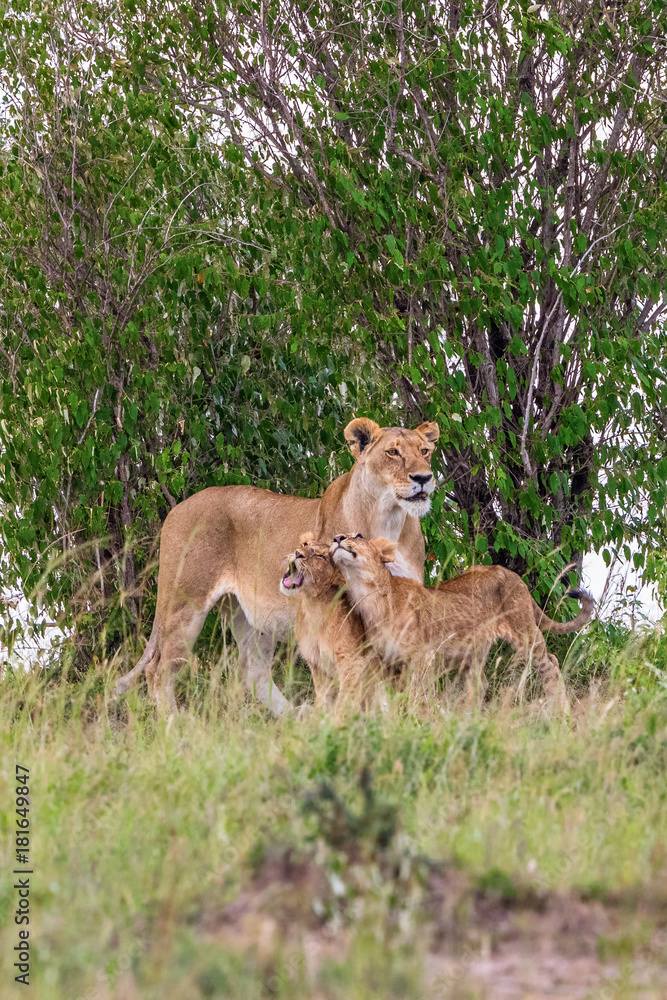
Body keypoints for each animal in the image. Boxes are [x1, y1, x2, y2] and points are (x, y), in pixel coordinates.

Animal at [279, 535, 385, 711]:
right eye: (304, 544)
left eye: (320, 556)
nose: (298, 553)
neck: (313, 608)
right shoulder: (317, 665)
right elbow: (323, 698)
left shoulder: (352, 663)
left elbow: (344, 701)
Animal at [330, 535, 595, 710]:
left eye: (358, 536)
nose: (337, 537)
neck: (367, 595)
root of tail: (513, 575)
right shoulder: (387, 663)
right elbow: (389, 697)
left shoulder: (423, 657)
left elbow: (418, 694)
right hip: (474, 651)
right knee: (480, 684)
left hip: (524, 632)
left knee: (550, 663)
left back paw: (559, 710)